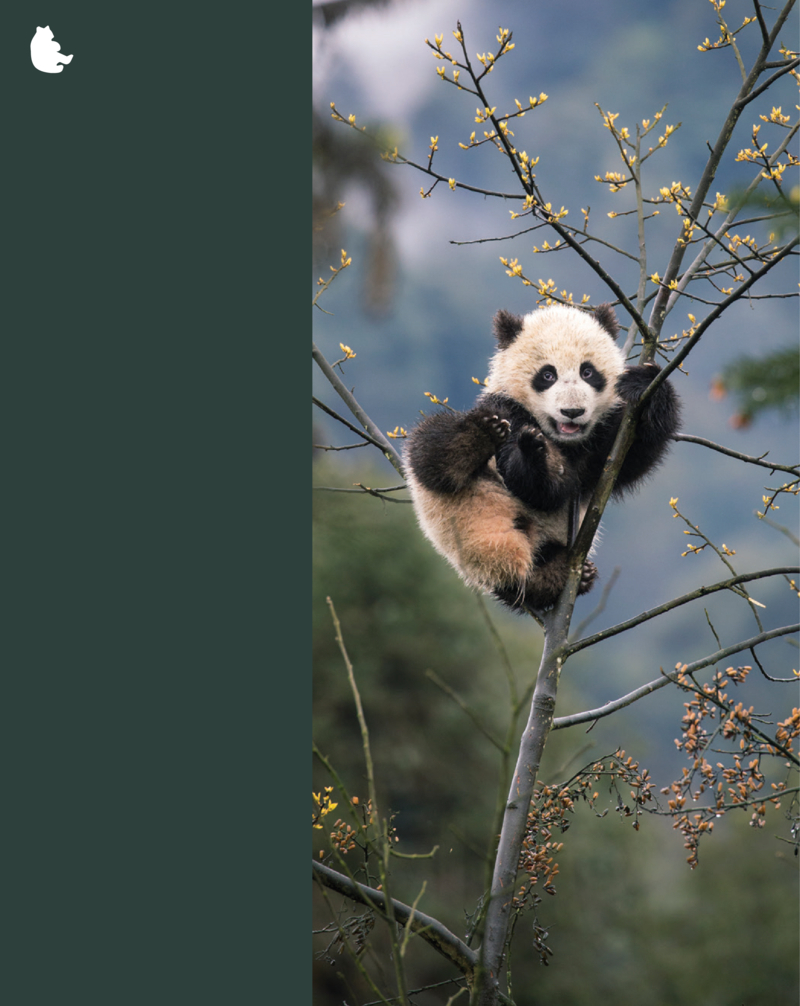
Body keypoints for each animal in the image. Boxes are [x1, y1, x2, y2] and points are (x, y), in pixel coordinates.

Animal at [404, 302, 680, 613]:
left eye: (588, 372)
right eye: (548, 375)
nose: (572, 411)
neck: (563, 440)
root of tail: (505, 557)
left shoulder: (600, 446)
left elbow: (631, 455)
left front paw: (645, 383)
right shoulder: (506, 408)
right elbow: (536, 489)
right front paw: (535, 455)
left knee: (533, 582)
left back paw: (563, 574)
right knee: (432, 451)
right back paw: (478, 436)